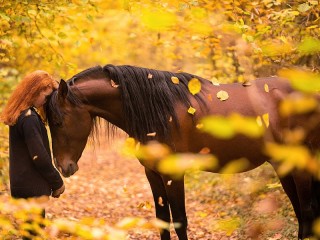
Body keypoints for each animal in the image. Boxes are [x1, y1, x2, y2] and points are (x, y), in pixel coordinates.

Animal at [46, 64, 320, 240]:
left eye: (58, 122)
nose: (63, 167)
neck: (157, 110)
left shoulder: (173, 175)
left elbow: (180, 221)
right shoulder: (153, 174)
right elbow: (163, 221)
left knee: (307, 213)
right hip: (283, 165)